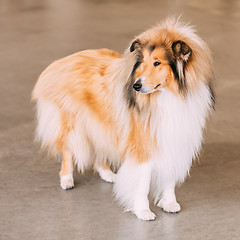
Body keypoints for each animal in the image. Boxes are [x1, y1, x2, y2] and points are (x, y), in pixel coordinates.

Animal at [31, 18, 214, 221]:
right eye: (143, 62)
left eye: (157, 63)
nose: (136, 86)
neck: (170, 96)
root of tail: (63, 61)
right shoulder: (142, 146)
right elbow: (142, 183)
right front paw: (143, 211)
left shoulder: (172, 139)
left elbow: (169, 176)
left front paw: (169, 203)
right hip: (73, 124)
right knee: (67, 152)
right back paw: (66, 179)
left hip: (100, 123)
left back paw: (108, 174)